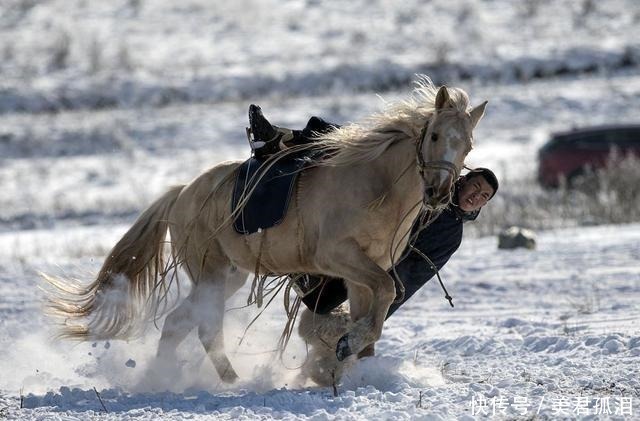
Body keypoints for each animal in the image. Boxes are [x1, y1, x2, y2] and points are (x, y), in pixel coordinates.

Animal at [45, 74, 488, 382]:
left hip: (229, 276)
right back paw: (225, 380)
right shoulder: (339, 258)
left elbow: (377, 308)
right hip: (210, 274)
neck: (373, 184)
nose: (439, 192)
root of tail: (182, 192)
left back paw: (168, 378)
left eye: (467, 145)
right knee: (204, 328)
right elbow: (386, 293)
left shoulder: (365, 271)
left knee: (177, 324)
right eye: (434, 135)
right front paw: (345, 347)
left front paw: (349, 359)